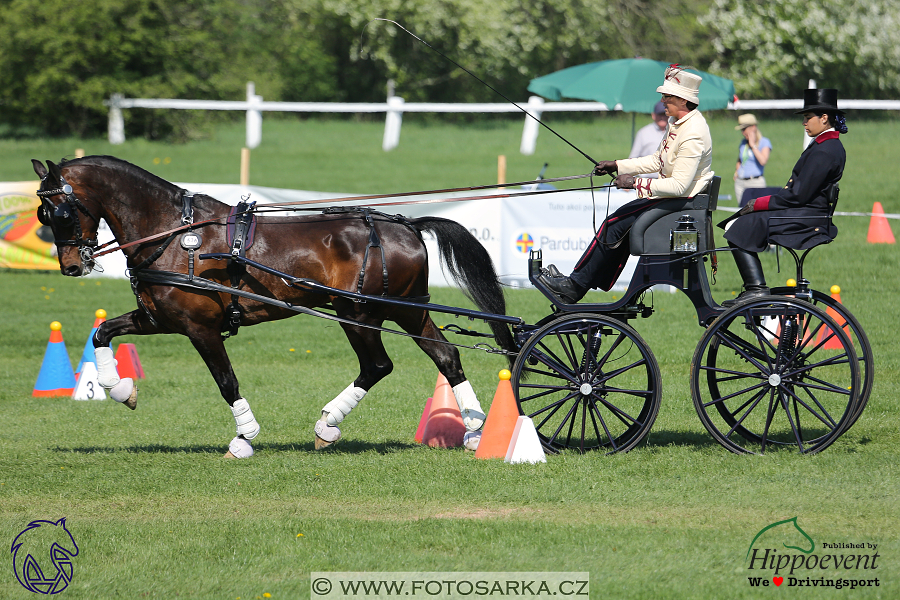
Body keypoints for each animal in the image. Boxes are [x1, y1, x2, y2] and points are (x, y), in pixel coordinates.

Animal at [33, 156, 512, 460]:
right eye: (43, 214)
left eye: (60, 212)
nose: (72, 265)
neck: (173, 234)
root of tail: (408, 225)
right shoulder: (159, 319)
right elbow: (102, 333)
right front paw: (119, 389)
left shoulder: (200, 328)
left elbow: (226, 381)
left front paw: (244, 438)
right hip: (408, 310)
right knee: (445, 356)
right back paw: (473, 430)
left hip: (360, 314)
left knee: (378, 365)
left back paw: (327, 425)